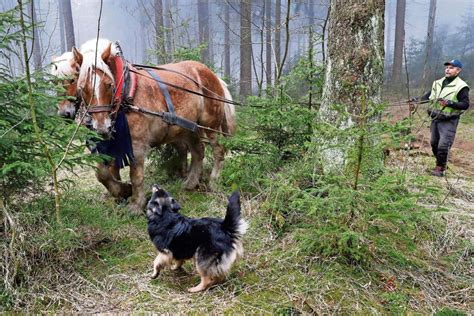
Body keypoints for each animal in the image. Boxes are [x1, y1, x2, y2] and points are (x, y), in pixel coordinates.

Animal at [72, 39, 235, 212]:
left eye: (109, 84)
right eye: (82, 87)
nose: (102, 128)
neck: (125, 93)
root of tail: (212, 74)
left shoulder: (137, 144)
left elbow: (136, 175)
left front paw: (136, 204)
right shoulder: (107, 144)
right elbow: (102, 173)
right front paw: (122, 191)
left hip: (210, 125)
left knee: (218, 150)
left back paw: (214, 181)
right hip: (188, 128)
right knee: (198, 151)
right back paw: (190, 183)